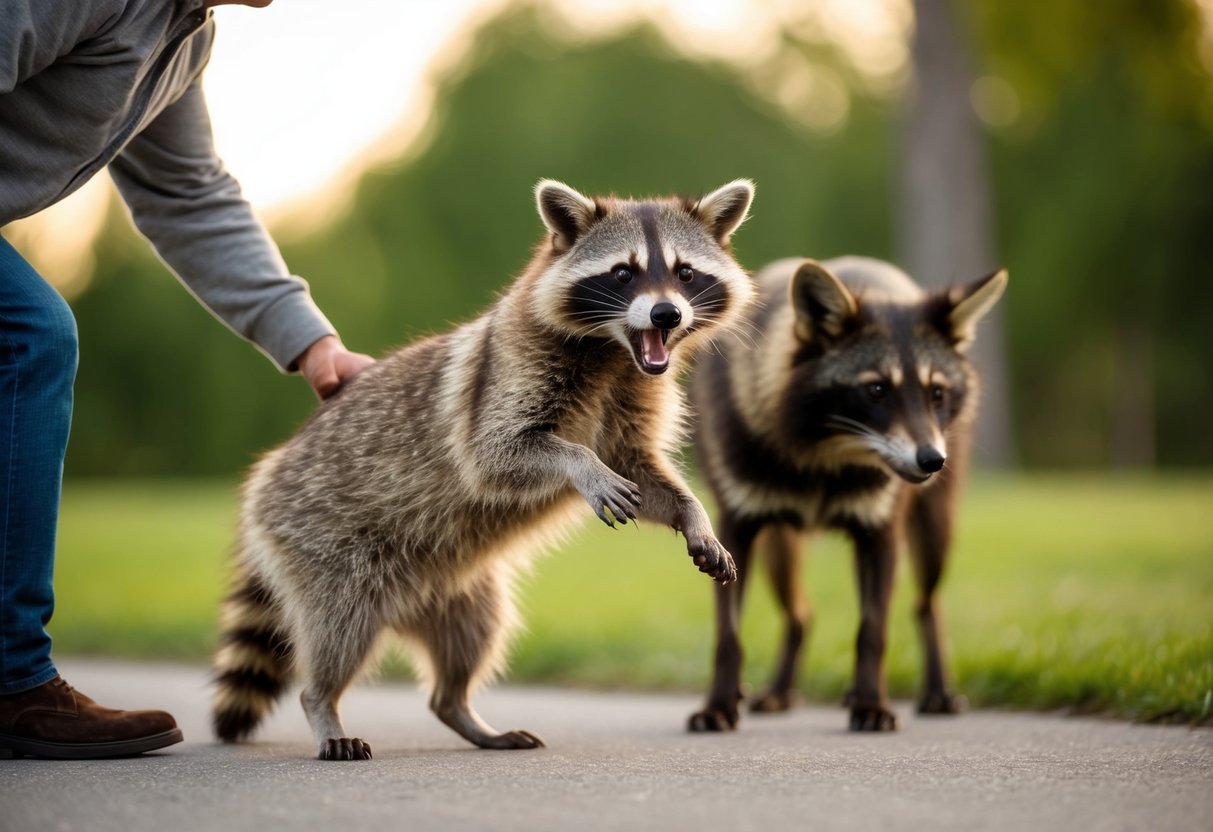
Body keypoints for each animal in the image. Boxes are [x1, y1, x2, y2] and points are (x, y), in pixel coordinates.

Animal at [211, 179, 757, 760]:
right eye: (623, 273)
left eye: (685, 273)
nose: (665, 315)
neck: (614, 352)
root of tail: (273, 470)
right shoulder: (508, 374)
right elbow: (496, 455)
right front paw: (582, 466)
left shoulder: (632, 401)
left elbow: (645, 474)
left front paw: (691, 513)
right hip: (326, 547)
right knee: (339, 627)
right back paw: (323, 705)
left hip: (459, 589)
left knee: (473, 637)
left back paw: (461, 710)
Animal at [686, 255, 1007, 733]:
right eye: (876, 389)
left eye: (936, 392)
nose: (933, 461)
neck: (824, 461)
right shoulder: (734, 529)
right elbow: (729, 636)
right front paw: (720, 704)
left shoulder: (879, 532)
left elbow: (872, 633)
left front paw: (871, 703)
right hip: (780, 550)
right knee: (800, 616)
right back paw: (780, 690)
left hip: (934, 534)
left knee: (926, 606)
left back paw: (935, 690)